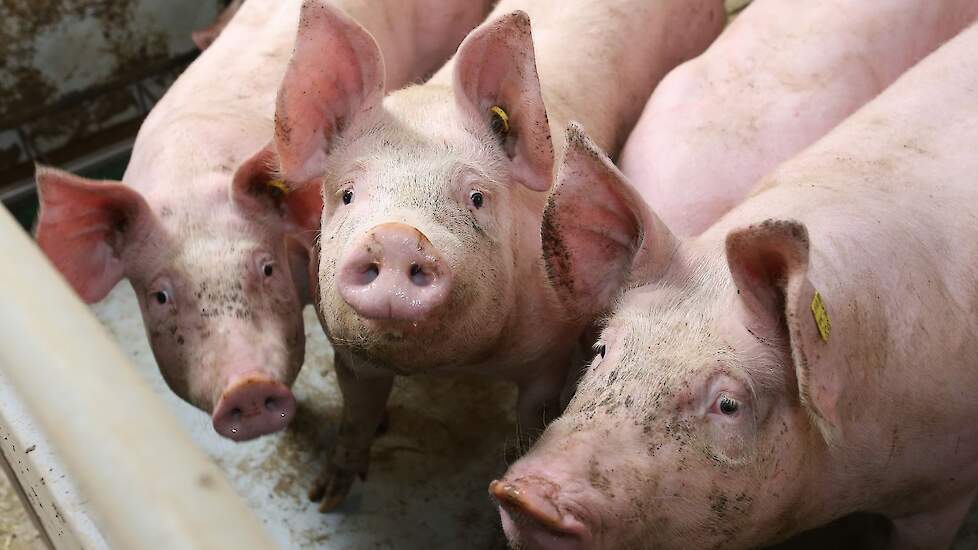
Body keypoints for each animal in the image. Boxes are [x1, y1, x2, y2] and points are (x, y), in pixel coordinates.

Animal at [274, 0, 724, 512]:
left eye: (476, 197)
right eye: (347, 194)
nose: (396, 237)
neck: (457, 365)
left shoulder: (549, 353)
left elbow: (534, 416)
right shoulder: (350, 355)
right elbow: (357, 414)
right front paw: (325, 499)